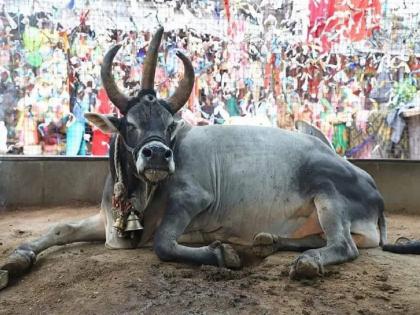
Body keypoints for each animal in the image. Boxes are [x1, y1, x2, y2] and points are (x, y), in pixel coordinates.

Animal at [0, 28, 416, 290]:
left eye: (169, 125)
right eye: (129, 124)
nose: (158, 154)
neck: (137, 196)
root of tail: (374, 192)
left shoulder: (193, 199)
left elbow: (163, 244)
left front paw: (222, 253)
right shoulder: (103, 222)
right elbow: (60, 229)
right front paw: (15, 261)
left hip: (326, 189)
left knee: (343, 246)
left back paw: (306, 262)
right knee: (316, 240)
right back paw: (268, 242)